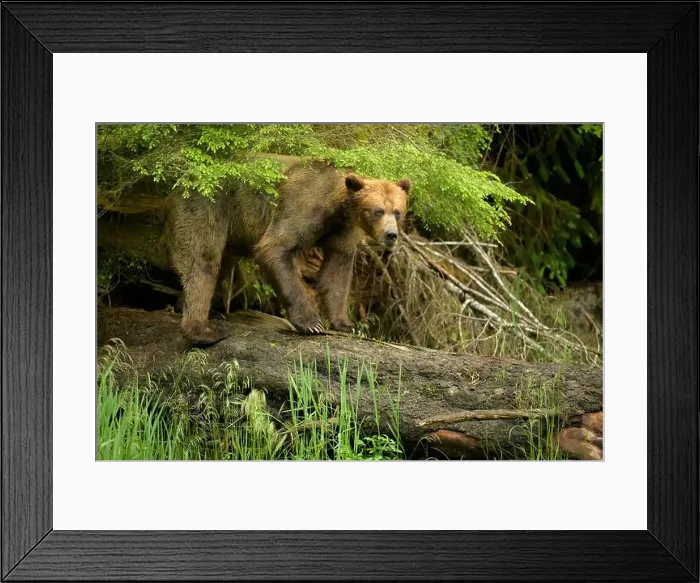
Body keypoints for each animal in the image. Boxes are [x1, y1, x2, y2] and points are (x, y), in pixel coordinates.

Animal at [164, 155, 411, 345]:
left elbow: (336, 273)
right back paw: (203, 331)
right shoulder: (301, 208)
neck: (335, 207)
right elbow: (274, 247)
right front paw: (311, 323)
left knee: (222, 263)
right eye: (378, 211)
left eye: (397, 212)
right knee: (203, 260)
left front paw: (346, 324)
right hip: (207, 206)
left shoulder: (342, 232)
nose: (391, 235)